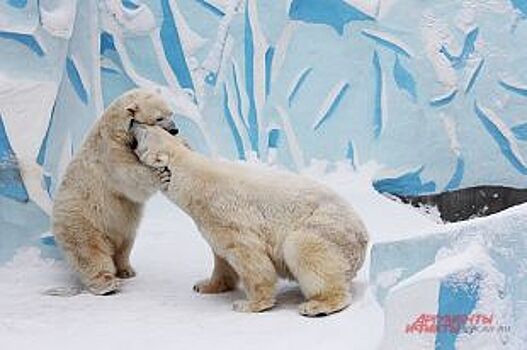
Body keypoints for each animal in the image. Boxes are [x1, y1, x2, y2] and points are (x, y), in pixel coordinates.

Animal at [51, 88, 179, 296]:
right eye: (159, 118)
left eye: (171, 113)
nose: (175, 130)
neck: (117, 127)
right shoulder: (110, 151)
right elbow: (129, 177)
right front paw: (161, 174)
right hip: (84, 222)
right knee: (90, 252)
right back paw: (107, 283)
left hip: (121, 227)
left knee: (125, 245)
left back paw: (126, 270)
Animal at [132, 123, 372, 318]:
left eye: (146, 131)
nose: (134, 122)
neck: (195, 181)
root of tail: (363, 239)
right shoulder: (211, 224)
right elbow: (221, 256)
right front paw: (205, 285)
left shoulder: (226, 214)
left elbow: (250, 256)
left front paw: (249, 304)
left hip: (329, 229)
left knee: (303, 247)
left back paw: (317, 305)